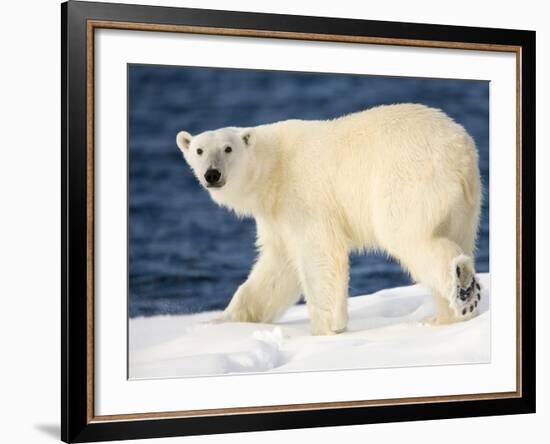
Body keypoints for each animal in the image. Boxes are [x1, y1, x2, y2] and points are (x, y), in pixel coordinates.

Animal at [178, 103, 484, 332]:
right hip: (465, 204)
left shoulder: (302, 197)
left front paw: (326, 328)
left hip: (407, 180)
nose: (212, 174)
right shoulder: (276, 215)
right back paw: (446, 316)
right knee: (457, 235)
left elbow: (319, 253)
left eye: (228, 148)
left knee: (408, 235)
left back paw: (462, 288)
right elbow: (277, 266)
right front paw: (224, 321)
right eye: (199, 150)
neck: (273, 169)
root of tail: (460, 150)